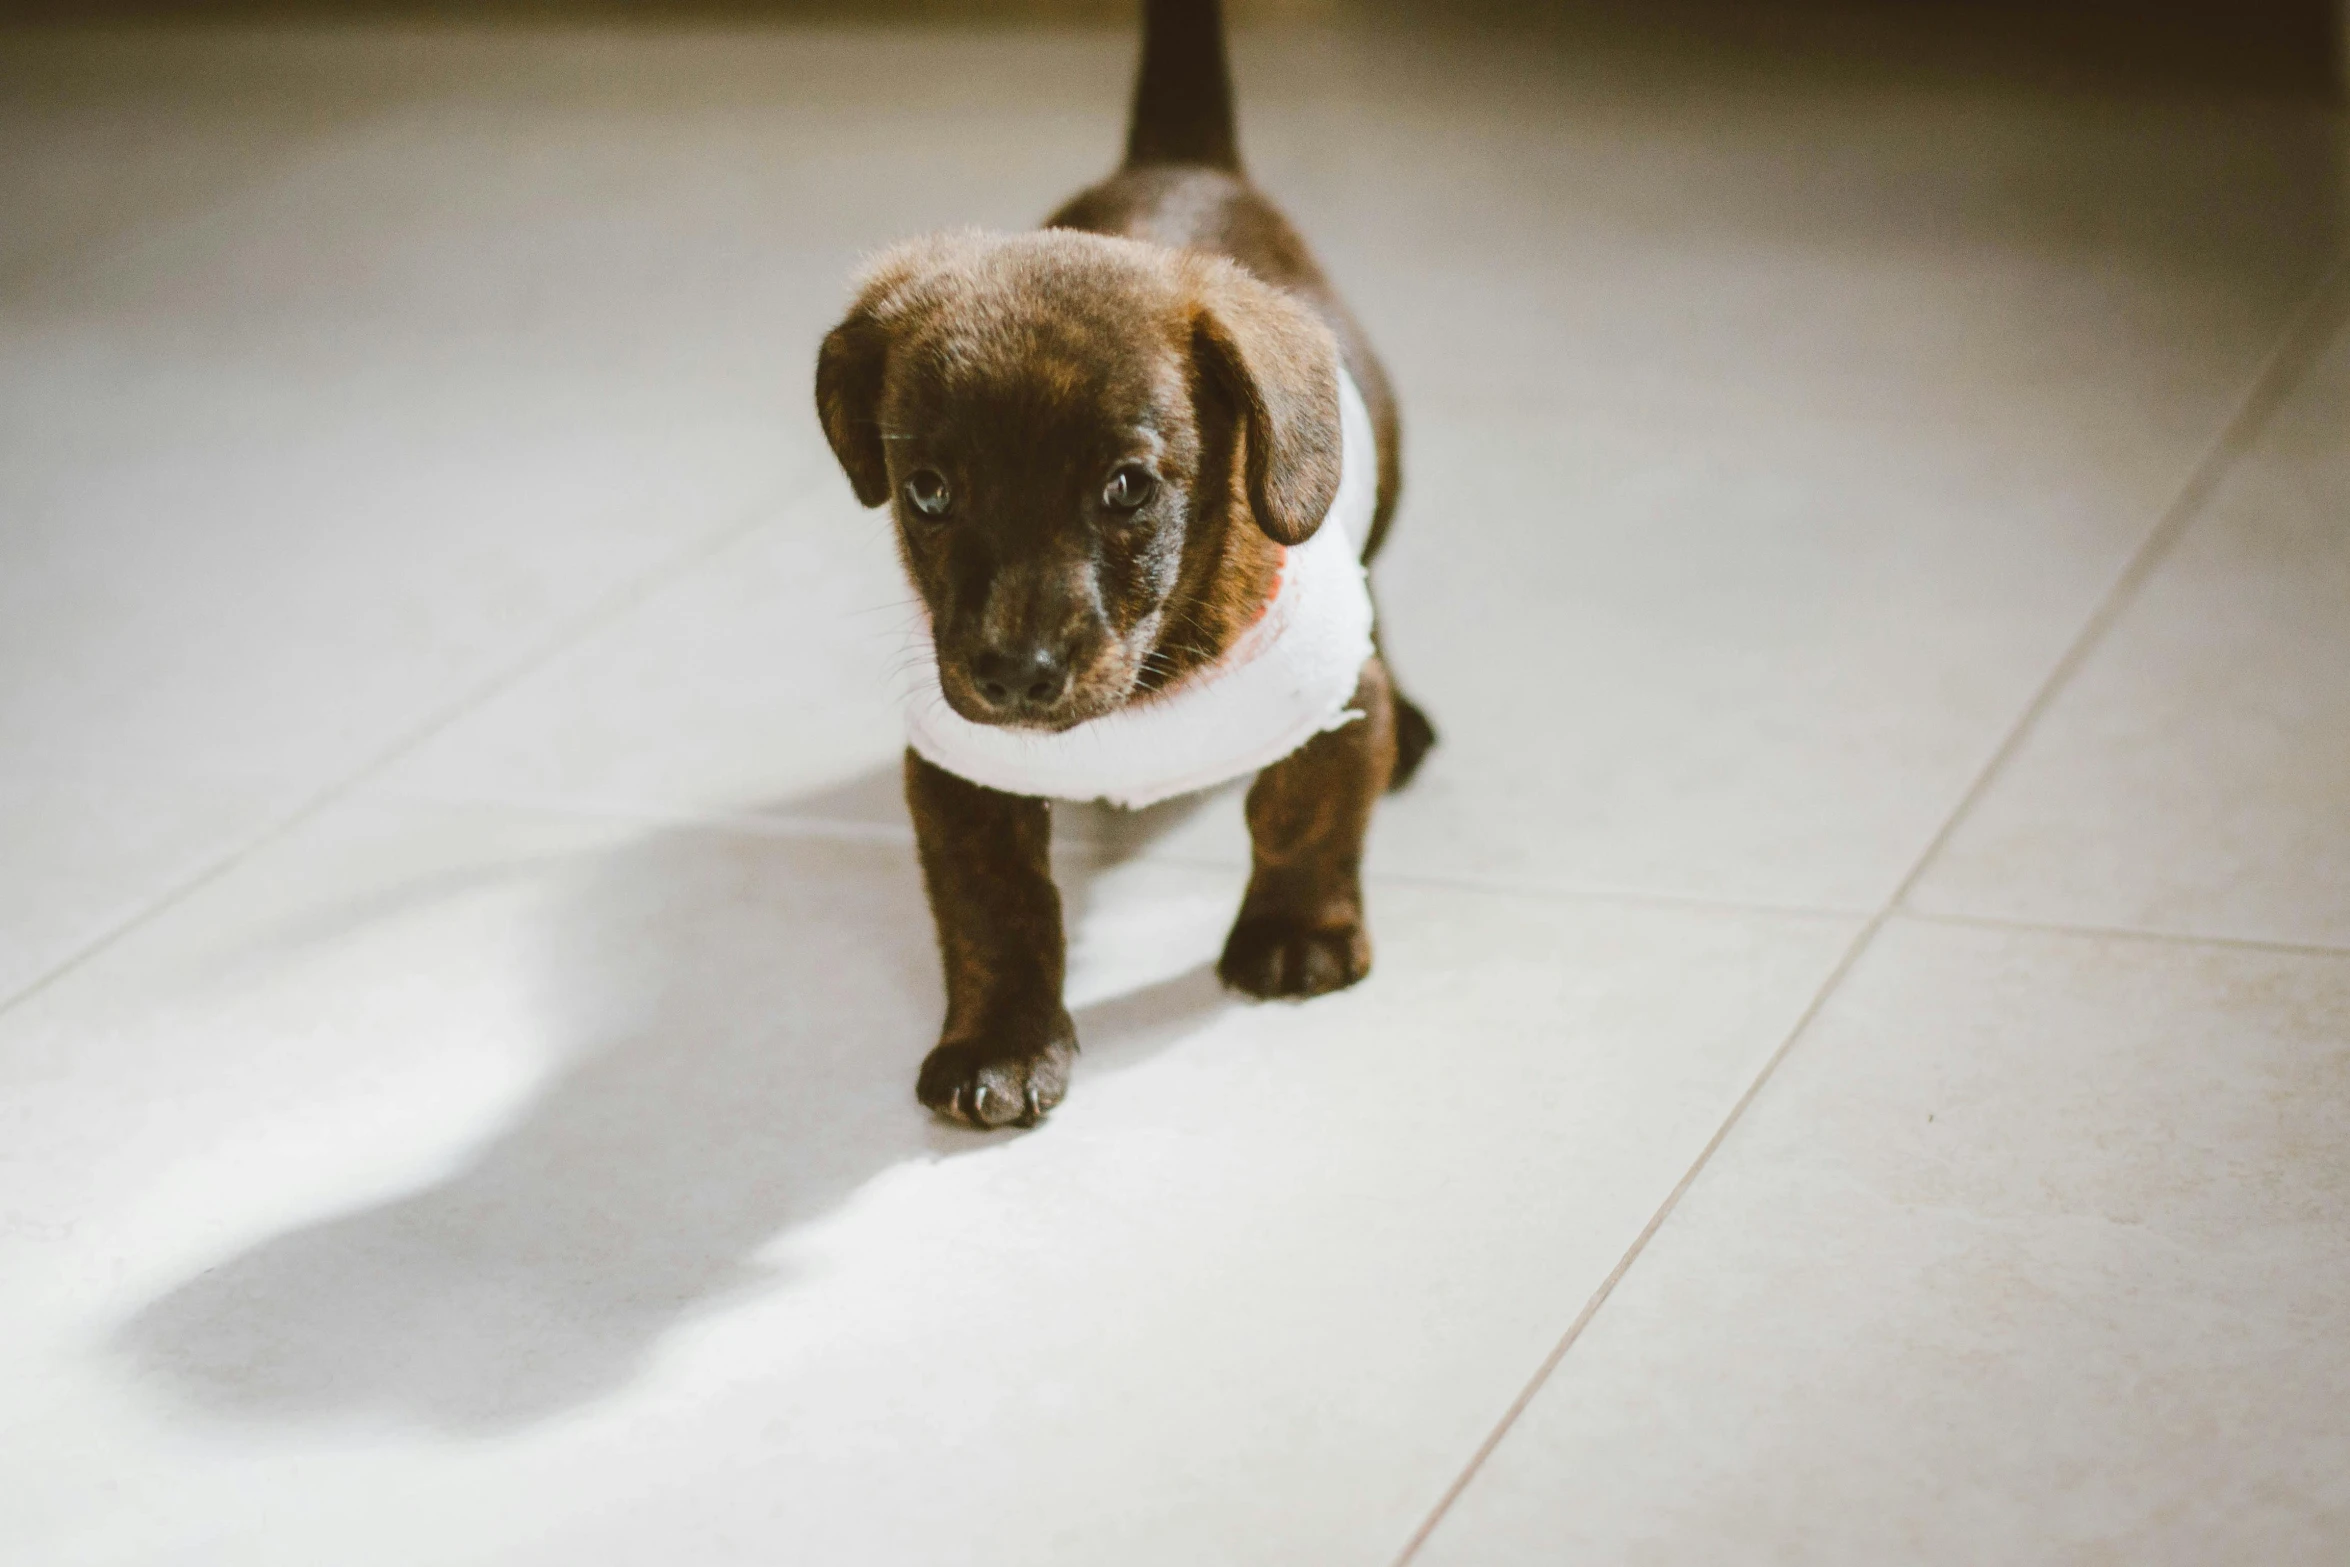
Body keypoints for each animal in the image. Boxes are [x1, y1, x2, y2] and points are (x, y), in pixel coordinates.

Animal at [813, 0, 1428, 1127]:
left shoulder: (1332, 696)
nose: (1013, 676)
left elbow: (1303, 814)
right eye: (928, 492)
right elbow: (997, 910)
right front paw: (1002, 1043)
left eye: (1129, 488)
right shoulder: (959, 772)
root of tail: (1176, 159)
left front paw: (1295, 933)